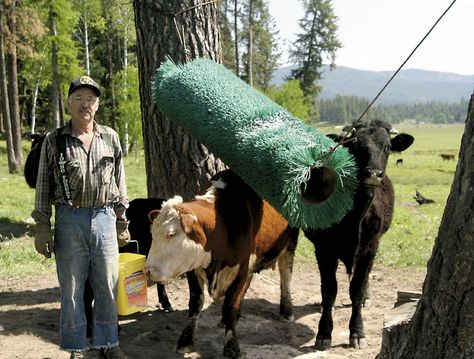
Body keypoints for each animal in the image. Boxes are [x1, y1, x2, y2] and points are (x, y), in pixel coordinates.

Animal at [145, 169, 300, 359]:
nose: (148, 271)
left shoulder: (240, 269)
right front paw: (185, 341)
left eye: (171, 234)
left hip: (290, 241)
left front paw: (232, 347)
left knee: (285, 274)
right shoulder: (193, 269)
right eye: (153, 233)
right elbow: (195, 303)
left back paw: (287, 310)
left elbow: (230, 306)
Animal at [304, 119, 414, 350]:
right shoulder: (324, 249)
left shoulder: (371, 247)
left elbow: (357, 288)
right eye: (354, 145)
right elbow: (329, 289)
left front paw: (357, 333)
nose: (373, 174)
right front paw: (324, 332)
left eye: (387, 147)